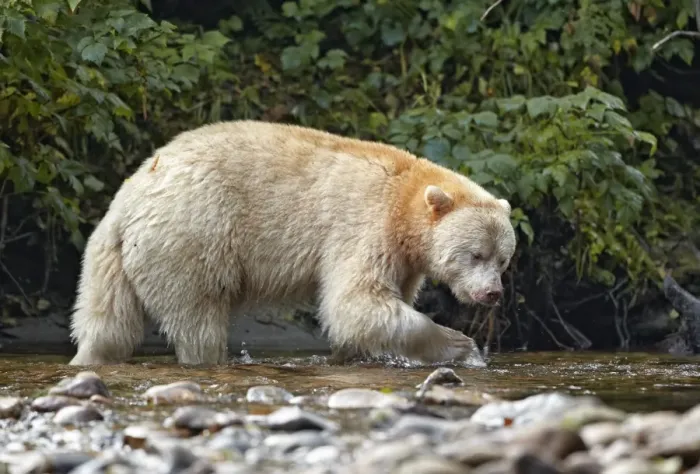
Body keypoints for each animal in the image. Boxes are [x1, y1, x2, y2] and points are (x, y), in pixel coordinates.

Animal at [68, 120, 517, 366]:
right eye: (475, 254)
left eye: (503, 259)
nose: (492, 294)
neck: (405, 198)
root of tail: (129, 198)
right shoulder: (365, 224)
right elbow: (356, 301)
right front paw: (461, 345)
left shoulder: (405, 258)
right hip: (191, 235)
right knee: (198, 319)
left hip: (116, 258)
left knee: (107, 322)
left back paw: (89, 357)